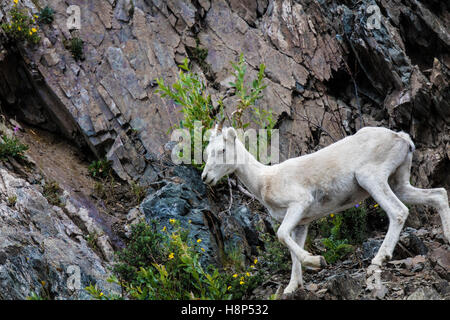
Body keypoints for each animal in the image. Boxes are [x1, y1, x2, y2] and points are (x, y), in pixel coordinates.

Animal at [201, 123, 450, 296]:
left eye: (222, 150)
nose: (205, 177)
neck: (265, 181)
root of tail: (402, 138)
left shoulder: (298, 205)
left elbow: (281, 236)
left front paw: (317, 262)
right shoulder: (301, 224)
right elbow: (292, 252)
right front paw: (292, 288)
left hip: (371, 178)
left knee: (398, 212)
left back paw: (380, 258)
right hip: (399, 182)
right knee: (438, 194)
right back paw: (447, 238)